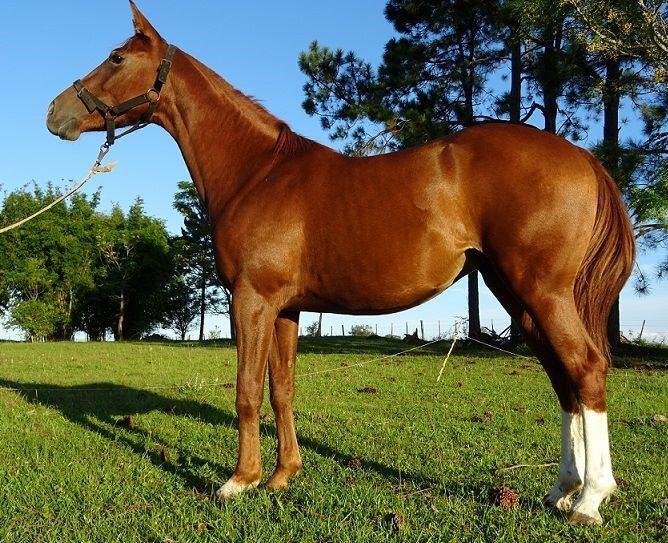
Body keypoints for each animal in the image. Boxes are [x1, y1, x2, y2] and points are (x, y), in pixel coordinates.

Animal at [45, 2, 632, 524]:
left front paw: (238, 482)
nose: (54, 113)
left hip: (541, 292)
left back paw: (589, 500)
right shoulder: (285, 308)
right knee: (564, 380)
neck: (258, 172)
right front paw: (282, 476)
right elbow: (281, 389)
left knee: (585, 368)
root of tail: (581, 157)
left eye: (117, 57)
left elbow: (246, 392)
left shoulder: (251, 299)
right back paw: (562, 491)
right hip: (518, 297)